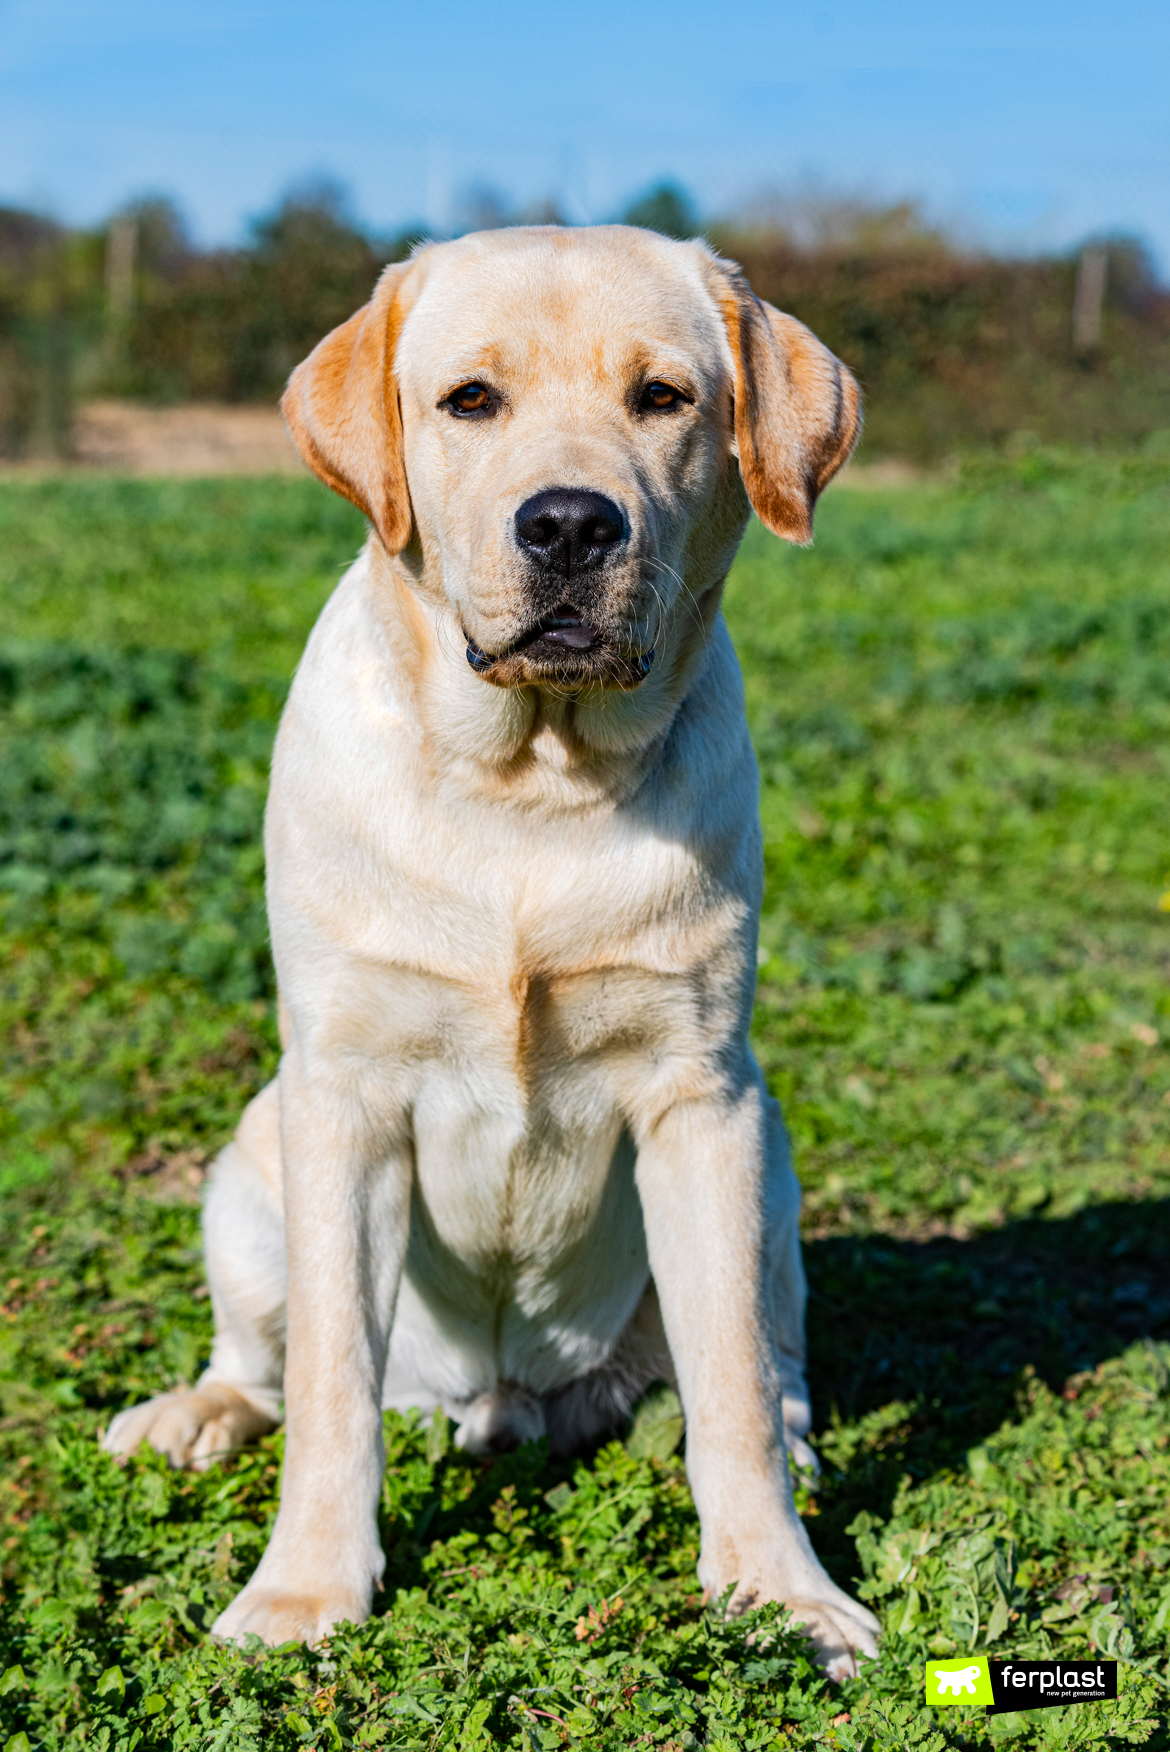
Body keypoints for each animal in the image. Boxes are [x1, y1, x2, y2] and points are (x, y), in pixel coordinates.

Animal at [105, 226, 875, 1674]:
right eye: (470, 400)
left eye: (664, 398)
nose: (570, 522)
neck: (533, 783)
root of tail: (501, 1404)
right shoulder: (345, 1097)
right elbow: (331, 1387)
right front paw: (304, 1593)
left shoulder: (699, 1093)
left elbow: (734, 1394)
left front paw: (779, 1587)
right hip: (250, 1164)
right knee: (262, 1362)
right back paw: (189, 1415)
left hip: (772, 1163)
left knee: (771, 1366)